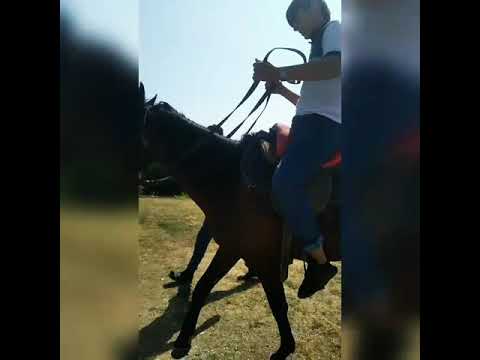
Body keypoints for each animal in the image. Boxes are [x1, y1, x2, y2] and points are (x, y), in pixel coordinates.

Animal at [142, 88, 342, 360]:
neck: (232, 177)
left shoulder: (254, 253)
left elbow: (277, 302)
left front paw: (284, 348)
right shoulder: (234, 248)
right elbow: (203, 287)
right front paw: (183, 339)